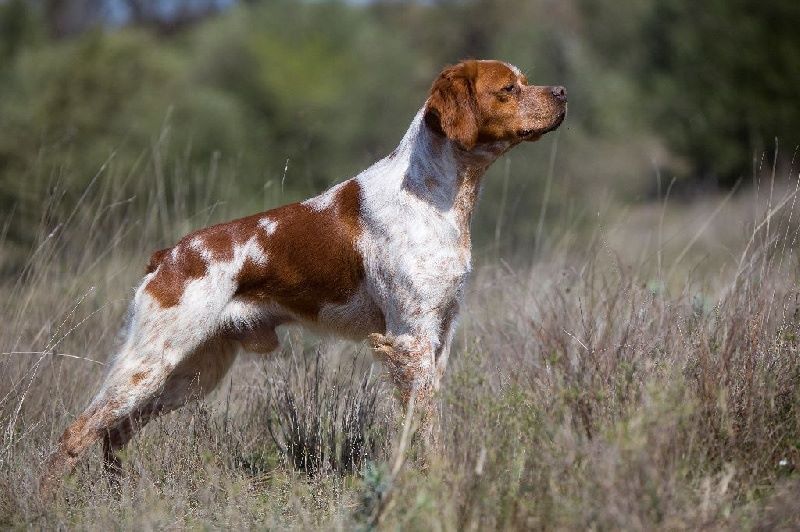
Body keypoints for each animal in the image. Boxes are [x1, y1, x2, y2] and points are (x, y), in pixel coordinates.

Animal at [40, 59, 564, 494]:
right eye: (509, 88)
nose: (562, 91)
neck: (435, 194)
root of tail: (168, 255)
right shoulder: (409, 338)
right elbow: (425, 428)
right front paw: (435, 481)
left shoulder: (440, 333)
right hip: (150, 362)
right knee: (77, 433)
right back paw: (51, 504)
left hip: (191, 372)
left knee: (115, 432)